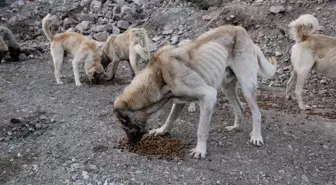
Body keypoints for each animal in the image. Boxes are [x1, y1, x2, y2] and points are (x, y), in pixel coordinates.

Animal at [112, 24, 276, 159]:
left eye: (125, 125)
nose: (130, 144)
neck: (159, 76)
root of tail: (242, 31)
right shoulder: (179, 101)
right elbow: (170, 119)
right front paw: (162, 131)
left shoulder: (209, 96)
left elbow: (201, 129)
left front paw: (200, 150)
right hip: (227, 87)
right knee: (240, 107)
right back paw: (235, 127)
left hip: (247, 86)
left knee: (257, 113)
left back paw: (256, 136)